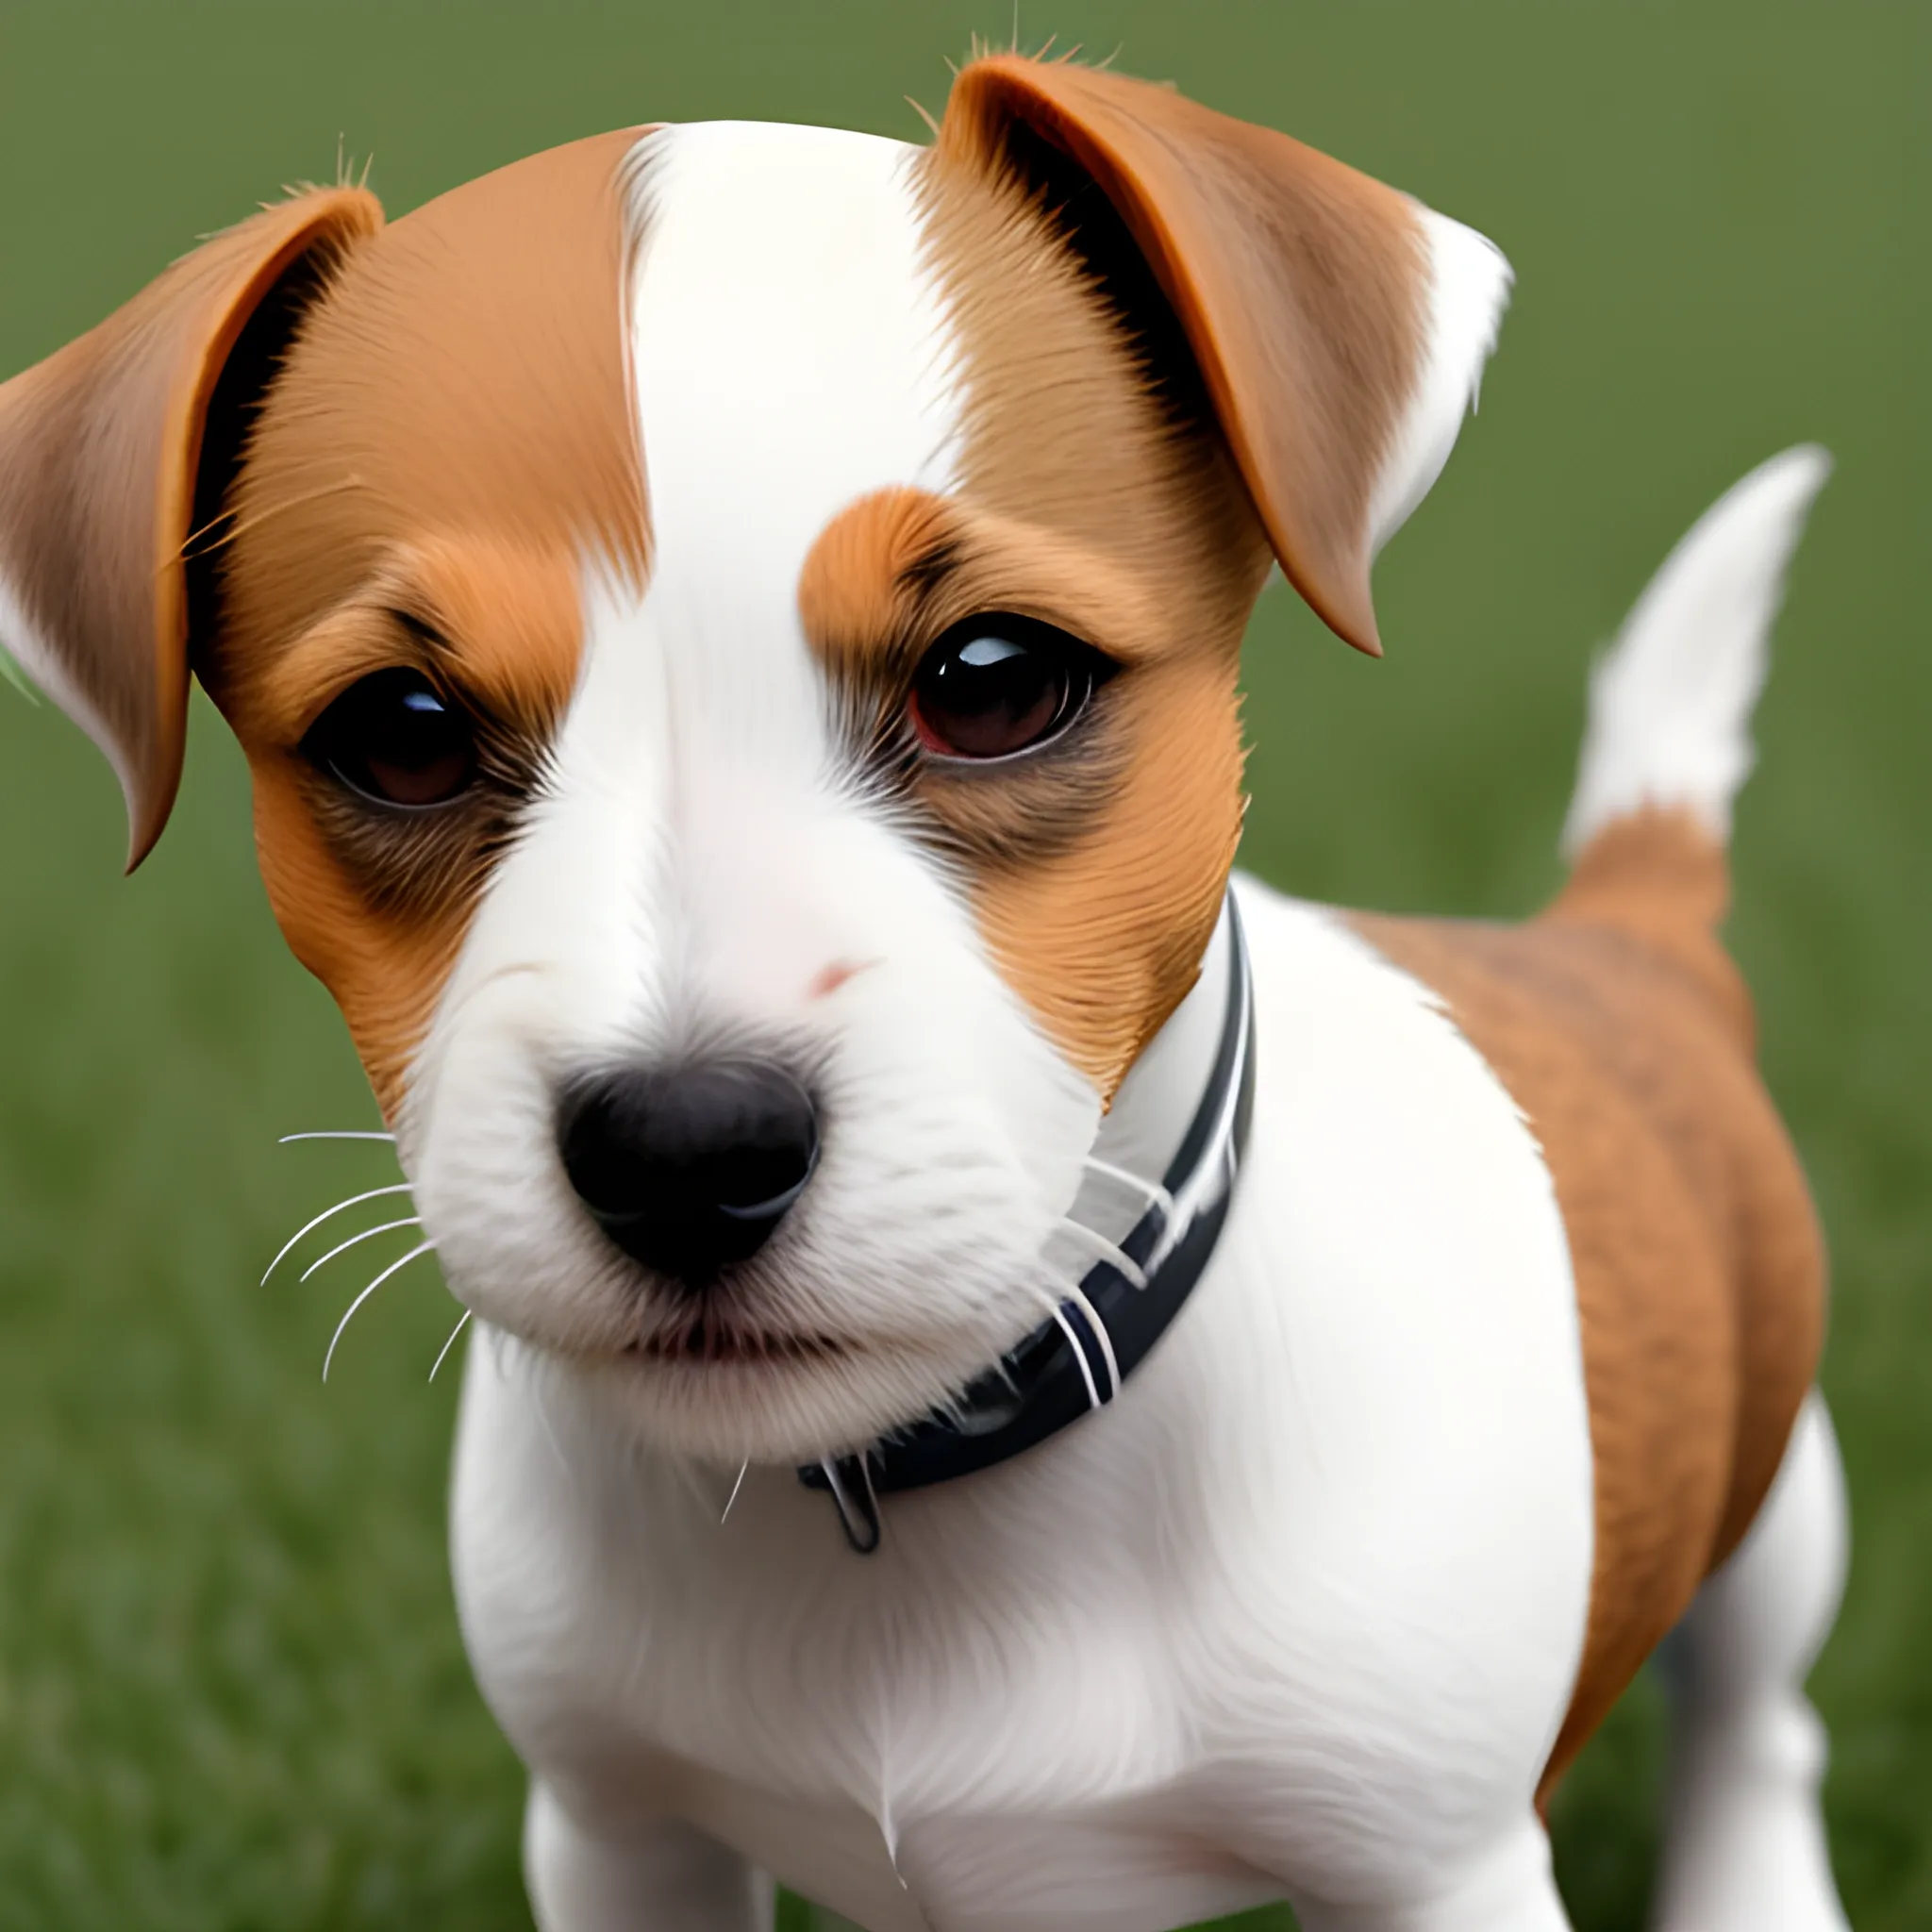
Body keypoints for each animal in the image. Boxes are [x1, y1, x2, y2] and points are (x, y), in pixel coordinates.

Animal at [0, 56, 1839, 1932]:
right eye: (403, 732)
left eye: (994, 682)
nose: (684, 1147)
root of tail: (1609, 934)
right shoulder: (618, 1825)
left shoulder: (1427, 1869)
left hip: (1783, 1476)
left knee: (1756, 1709)